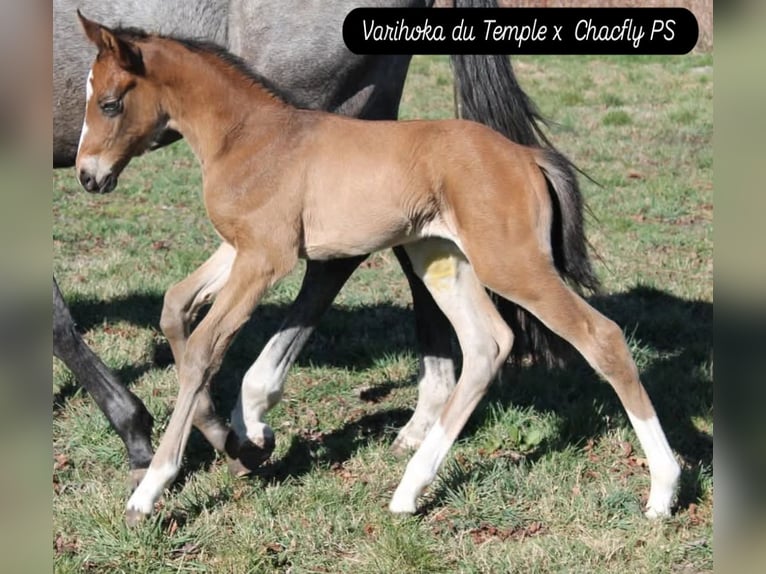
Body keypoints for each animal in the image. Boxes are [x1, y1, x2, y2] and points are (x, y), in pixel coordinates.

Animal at [74, 13, 680, 525]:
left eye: (109, 103)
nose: (87, 175)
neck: (248, 135)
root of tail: (525, 155)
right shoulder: (242, 248)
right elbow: (175, 305)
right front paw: (241, 441)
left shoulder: (265, 258)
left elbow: (204, 348)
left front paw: (152, 489)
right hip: (441, 260)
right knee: (488, 345)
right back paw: (409, 490)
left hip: (512, 264)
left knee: (601, 336)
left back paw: (664, 490)